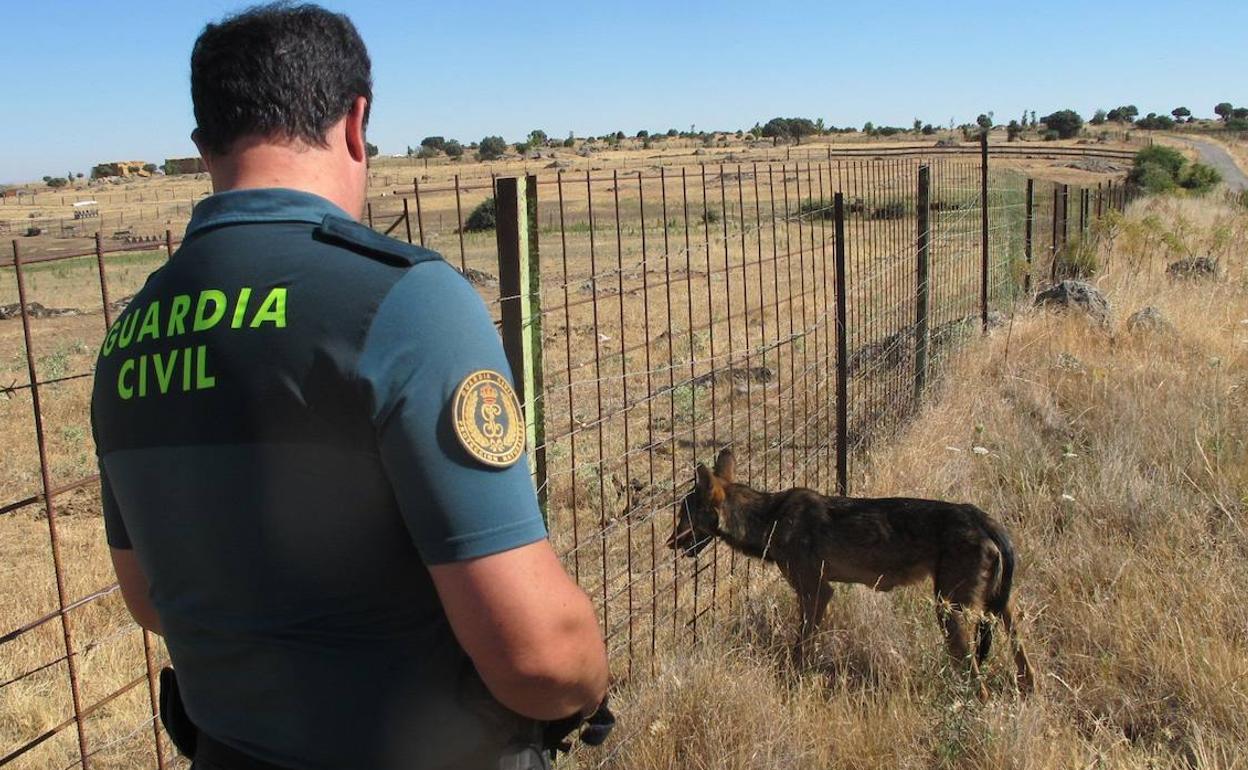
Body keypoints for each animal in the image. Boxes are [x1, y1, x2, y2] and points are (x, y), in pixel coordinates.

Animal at [668, 446, 1038, 698]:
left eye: (684, 514)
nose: (669, 543)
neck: (770, 519)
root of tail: (983, 519)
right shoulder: (816, 594)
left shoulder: (817, 593)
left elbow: (800, 648)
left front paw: (791, 682)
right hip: (998, 610)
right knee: (1025, 664)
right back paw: (1026, 691)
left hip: (950, 611)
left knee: (979, 683)